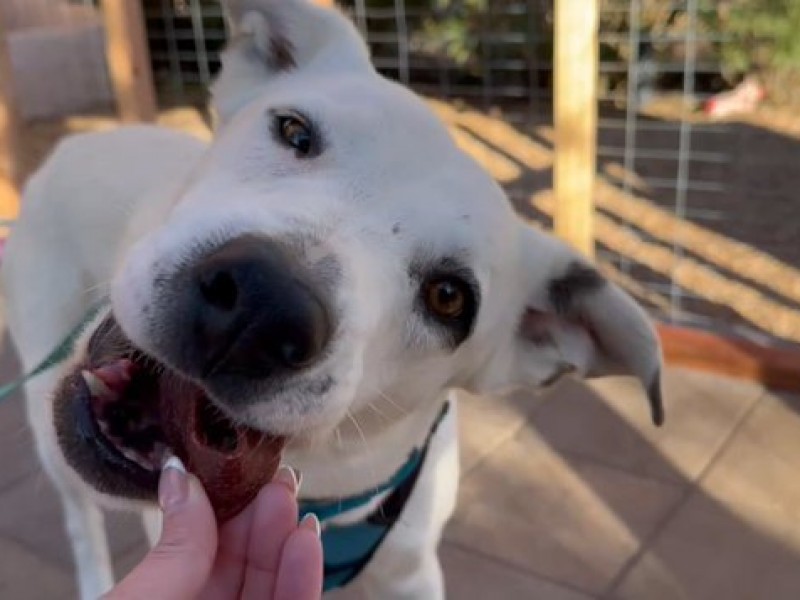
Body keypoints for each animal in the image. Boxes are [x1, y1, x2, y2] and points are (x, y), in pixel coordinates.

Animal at [0, 1, 664, 600]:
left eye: (450, 298)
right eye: (293, 130)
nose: (261, 308)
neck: (315, 492)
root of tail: (89, 138)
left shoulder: (412, 576)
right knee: (79, 519)